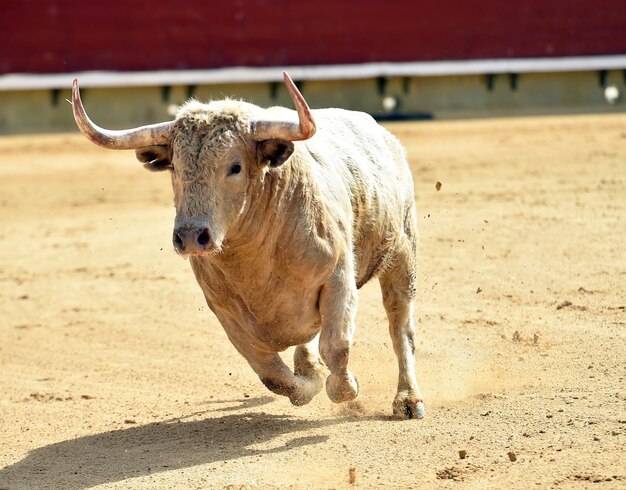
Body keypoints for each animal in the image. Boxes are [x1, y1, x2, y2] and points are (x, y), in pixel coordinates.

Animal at [72, 74, 424, 420]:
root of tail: (384, 135)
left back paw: (408, 400)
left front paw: (347, 389)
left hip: (403, 252)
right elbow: (270, 372)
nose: (190, 235)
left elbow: (336, 347)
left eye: (235, 166)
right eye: (175, 167)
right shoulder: (224, 309)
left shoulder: (338, 279)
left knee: (400, 327)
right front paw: (308, 381)